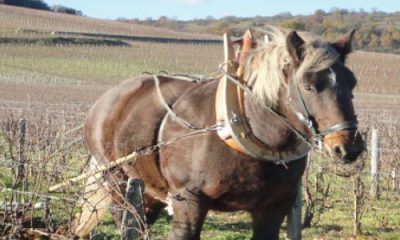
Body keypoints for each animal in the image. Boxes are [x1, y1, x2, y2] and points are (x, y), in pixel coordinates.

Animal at [72, 27, 366, 238]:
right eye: (308, 86)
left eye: (352, 82)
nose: (348, 146)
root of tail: (107, 99)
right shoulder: (187, 200)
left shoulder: (273, 208)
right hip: (117, 178)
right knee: (125, 217)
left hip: (148, 187)